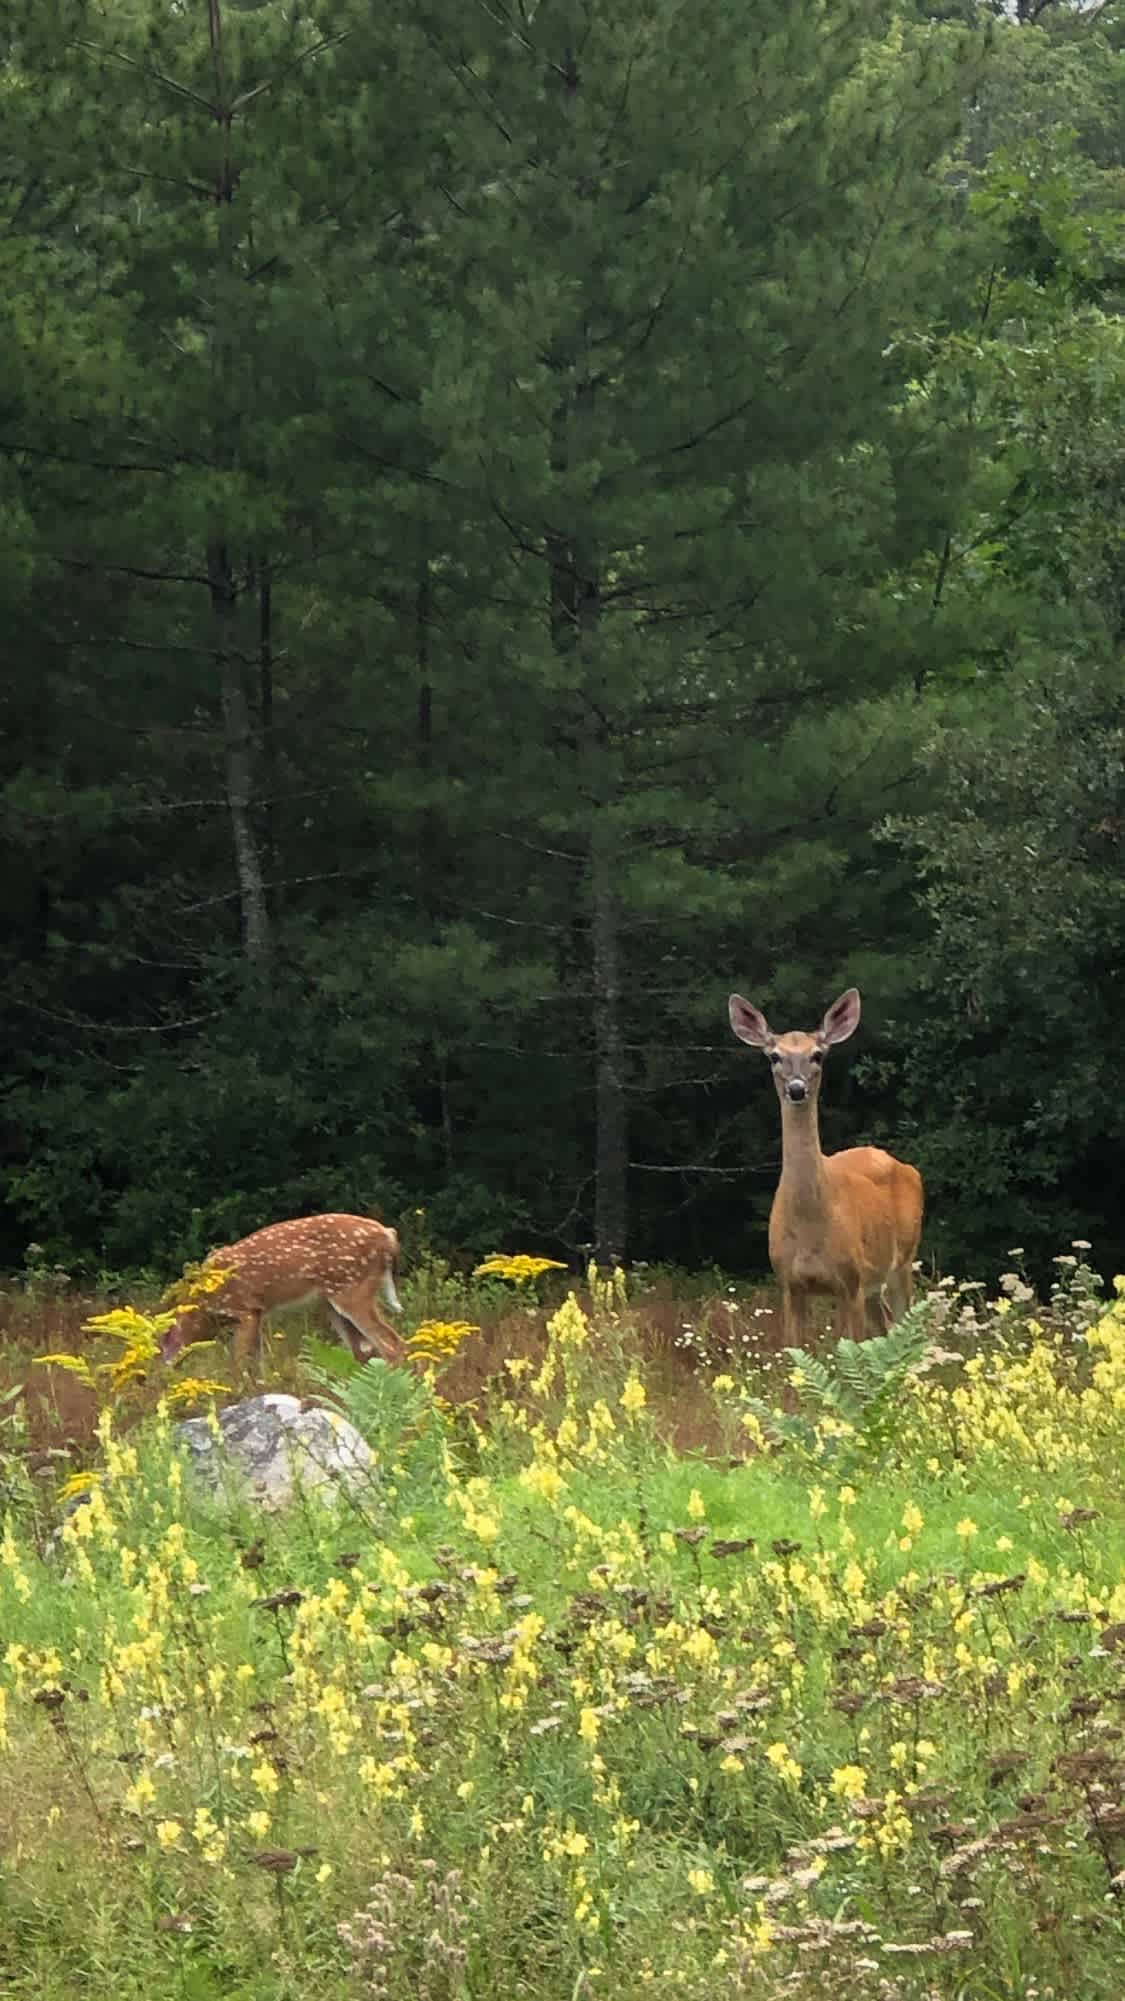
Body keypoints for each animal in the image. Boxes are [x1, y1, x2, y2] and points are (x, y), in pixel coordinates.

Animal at [155, 1208, 404, 1368]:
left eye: (163, 1344)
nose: (165, 1369)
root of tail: (389, 1235)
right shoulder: (257, 1314)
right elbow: (257, 1363)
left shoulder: (244, 1310)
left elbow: (238, 1362)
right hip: (332, 1302)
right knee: (362, 1350)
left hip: (352, 1289)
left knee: (392, 1344)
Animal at [728, 988, 920, 1344]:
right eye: (774, 1056)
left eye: (817, 1055)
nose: (797, 1089)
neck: (810, 1226)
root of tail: (904, 1166)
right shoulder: (790, 1284)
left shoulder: (850, 1281)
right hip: (874, 1284)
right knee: (886, 1326)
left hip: (903, 1259)